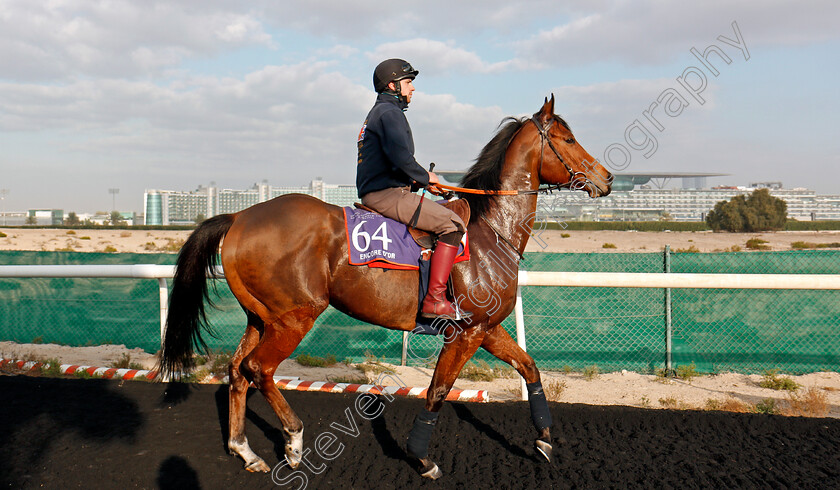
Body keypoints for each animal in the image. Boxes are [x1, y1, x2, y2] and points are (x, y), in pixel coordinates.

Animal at [158, 94, 612, 478]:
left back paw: (245, 450)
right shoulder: (465, 333)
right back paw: (294, 440)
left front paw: (545, 440)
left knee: (238, 371)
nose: (606, 178)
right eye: (568, 139)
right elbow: (438, 391)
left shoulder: (487, 328)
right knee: (259, 369)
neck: (491, 232)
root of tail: (238, 217)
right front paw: (422, 458)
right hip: (294, 318)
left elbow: (530, 367)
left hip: (260, 317)